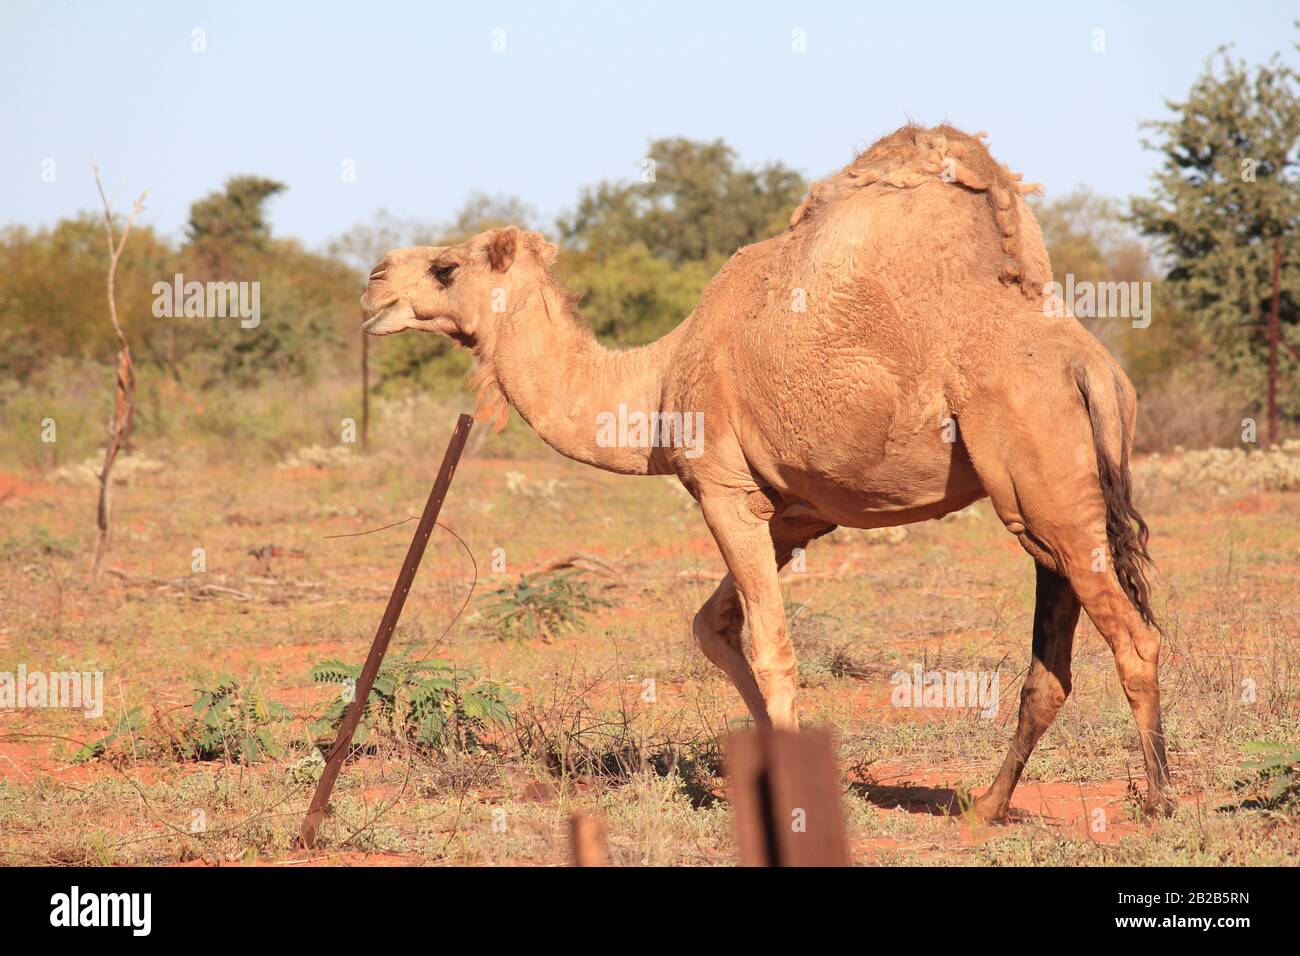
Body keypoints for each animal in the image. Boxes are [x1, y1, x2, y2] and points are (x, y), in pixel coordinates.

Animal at [361, 123, 1175, 816]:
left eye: (446, 267)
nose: (373, 280)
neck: (658, 383)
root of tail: (1091, 367)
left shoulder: (723, 487)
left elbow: (772, 651)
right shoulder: (795, 512)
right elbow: (711, 627)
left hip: (1045, 489)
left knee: (1135, 639)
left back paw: (1160, 801)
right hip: (1050, 502)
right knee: (1051, 665)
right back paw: (987, 806)